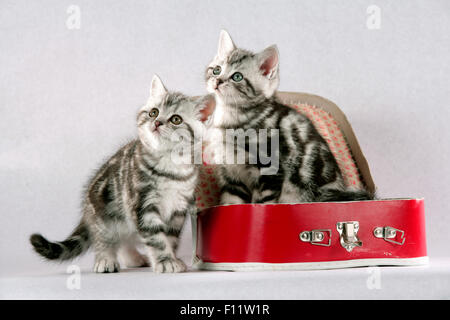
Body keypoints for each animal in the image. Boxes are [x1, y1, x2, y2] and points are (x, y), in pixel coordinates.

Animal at [30, 75, 216, 272]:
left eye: (175, 119)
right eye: (153, 112)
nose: (157, 122)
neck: (169, 165)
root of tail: (87, 208)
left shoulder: (177, 211)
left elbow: (170, 238)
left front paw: (171, 257)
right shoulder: (142, 204)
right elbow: (156, 238)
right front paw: (165, 261)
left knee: (125, 241)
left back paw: (134, 258)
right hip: (105, 213)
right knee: (104, 238)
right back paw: (105, 260)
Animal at [205, 31, 372, 204]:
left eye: (237, 76)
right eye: (216, 70)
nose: (217, 81)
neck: (232, 117)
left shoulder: (271, 171)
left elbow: (263, 204)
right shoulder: (231, 176)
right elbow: (231, 203)